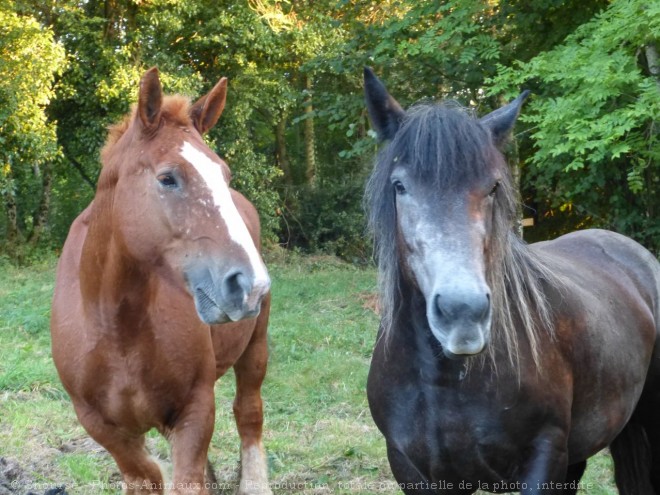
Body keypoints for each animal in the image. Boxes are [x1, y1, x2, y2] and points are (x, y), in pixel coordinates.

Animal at [51, 70, 274, 495]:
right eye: (168, 178)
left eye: (224, 174)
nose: (249, 284)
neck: (115, 329)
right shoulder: (103, 427)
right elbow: (148, 476)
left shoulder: (194, 412)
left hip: (255, 346)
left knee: (249, 412)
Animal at [364, 68, 660, 494]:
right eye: (400, 186)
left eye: (492, 187)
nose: (463, 313)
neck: (444, 382)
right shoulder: (414, 471)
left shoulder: (543, 459)